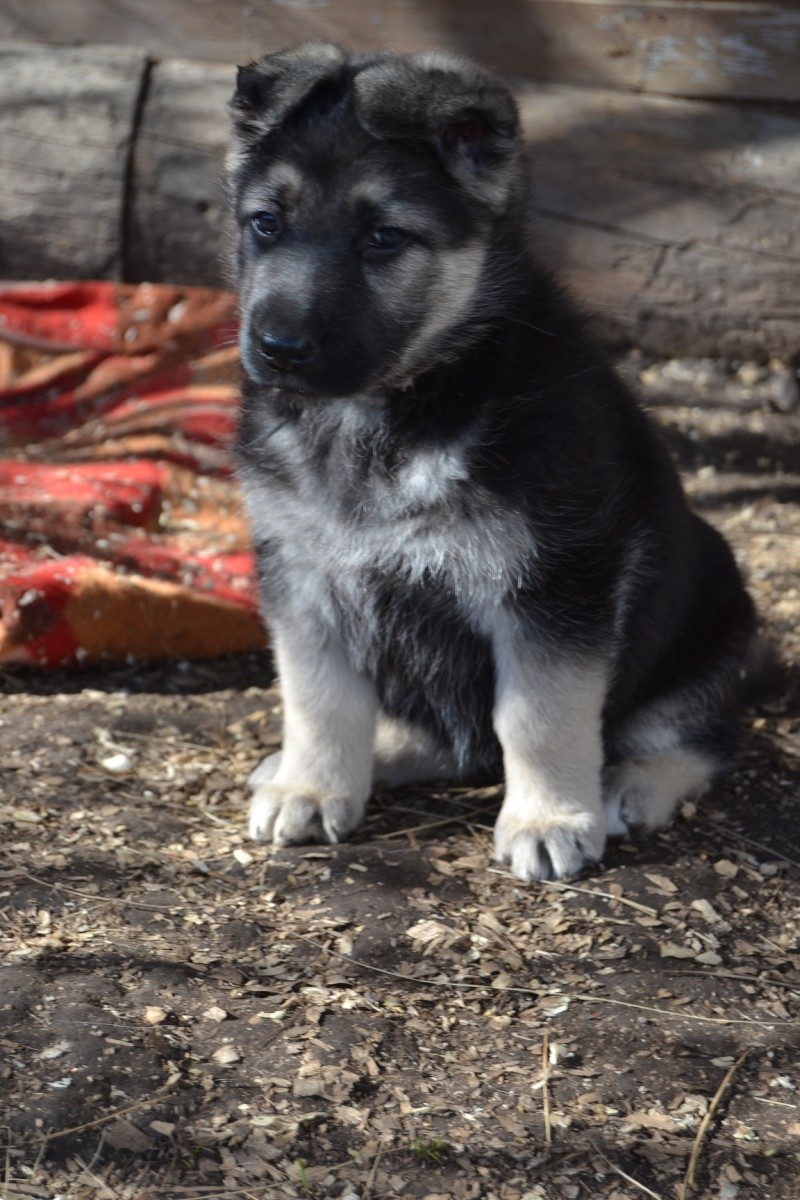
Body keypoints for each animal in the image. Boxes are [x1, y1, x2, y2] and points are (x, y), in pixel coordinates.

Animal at [225, 42, 758, 883]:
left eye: (384, 238)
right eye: (266, 224)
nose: (278, 348)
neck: (398, 400)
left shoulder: (551, 585)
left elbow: (537, 714)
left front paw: (548, 819)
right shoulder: (302, 576)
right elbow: (319, 697)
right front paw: (312, 785)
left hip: (713, 614)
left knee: (698, 734)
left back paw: (633, 783)